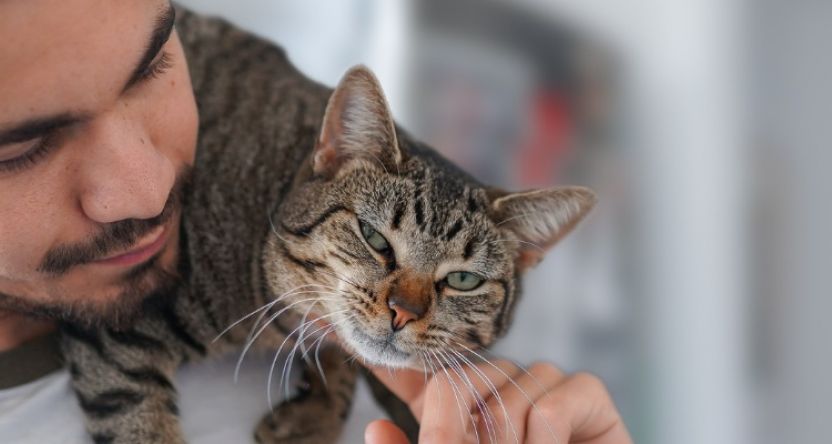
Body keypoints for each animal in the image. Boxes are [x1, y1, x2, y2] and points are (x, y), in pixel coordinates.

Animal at [61, 9, 596, 444]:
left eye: (463, 280)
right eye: (375, 238)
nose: (402, 312)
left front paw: (315, 410)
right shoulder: (119, 324)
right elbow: (142, 424)